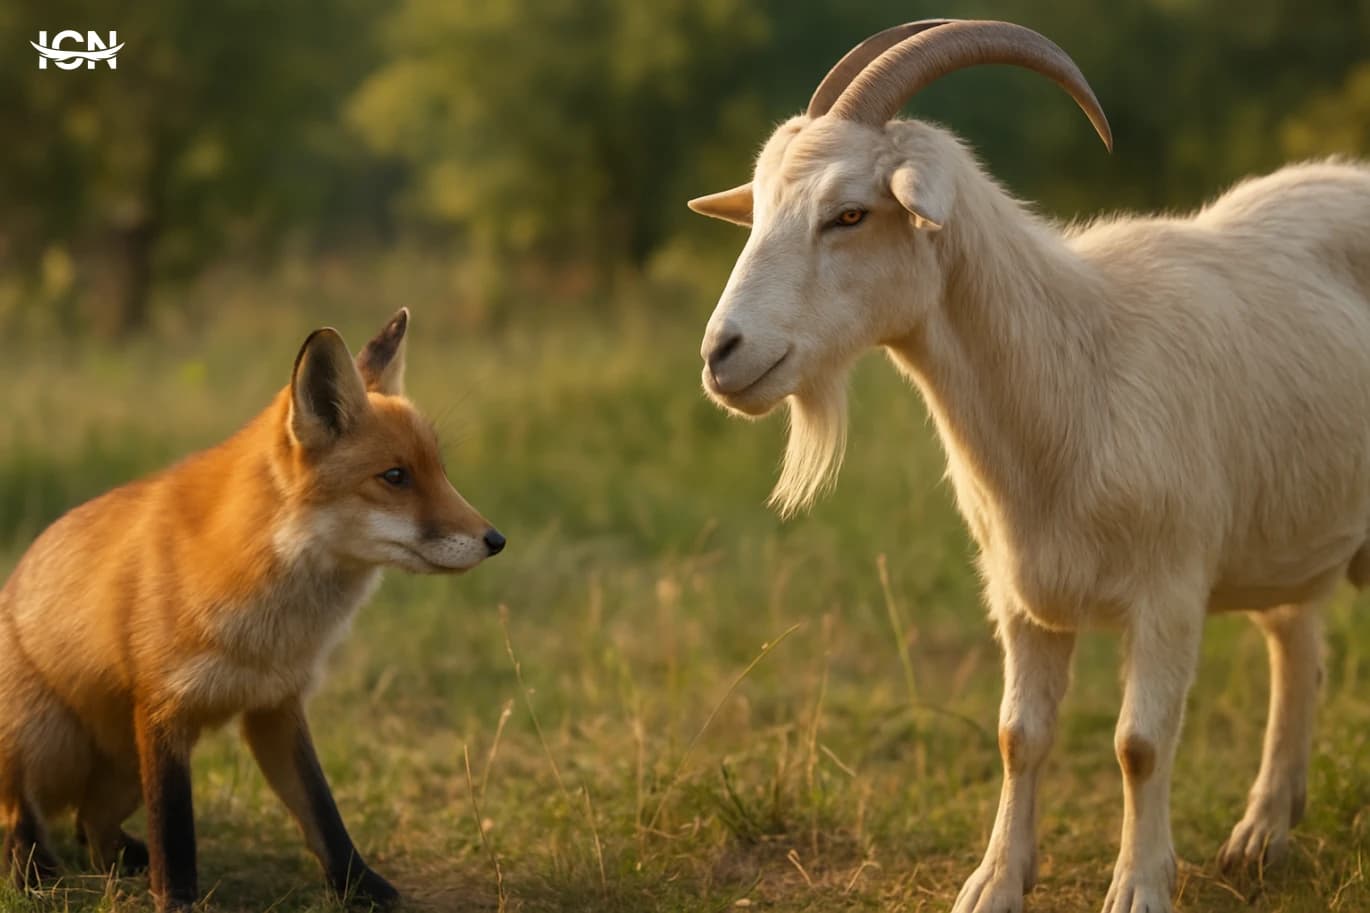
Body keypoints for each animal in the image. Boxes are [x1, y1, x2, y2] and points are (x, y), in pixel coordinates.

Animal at [0, 308, 504, 910]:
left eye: (440, 471)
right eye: (395, 477)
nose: (495, 540)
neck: (271, 625)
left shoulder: (276, 705)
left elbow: (323, 815)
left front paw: (362, 888)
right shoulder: (163, 710)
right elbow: (175, 828)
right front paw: (176, 901)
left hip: (121, 766)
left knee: (90, 827)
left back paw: (117, 862)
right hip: (48, 735)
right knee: (22, 819)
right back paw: (34, 875)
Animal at [687, 19, 1370, 913]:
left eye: (849, 213)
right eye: (760, 207)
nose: (721, 353)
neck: (1077, 366)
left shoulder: (1170, 589)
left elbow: (1140, 743)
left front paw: (1139, 886)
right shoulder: (1020, 592)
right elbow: (1020, 735)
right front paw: (994, 881)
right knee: (1297, 647)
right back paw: (1261, 834)